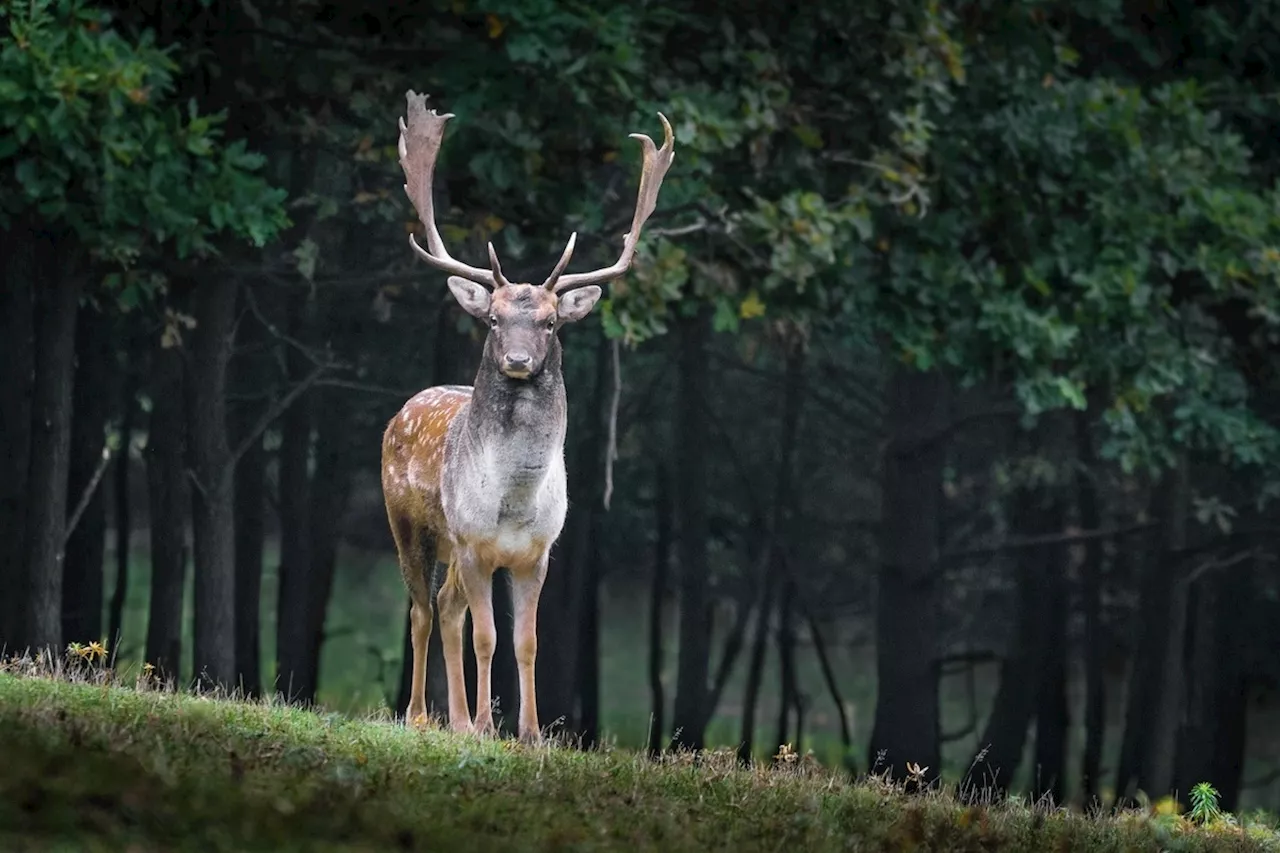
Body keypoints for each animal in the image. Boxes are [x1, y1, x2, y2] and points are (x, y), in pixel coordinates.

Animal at [378, 87, 675, 737]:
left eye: (550, 322)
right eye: (493, 319)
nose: (517, 359)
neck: (513, 503)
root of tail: (402, 410)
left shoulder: (537, 553)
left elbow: (526, 641)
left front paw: (530, 732)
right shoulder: (472, 543)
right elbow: (487, 637)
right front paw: (489, 726)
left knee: (445, 608)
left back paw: (456, 719)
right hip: (409, 524)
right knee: (421, 609)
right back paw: (422, 716)